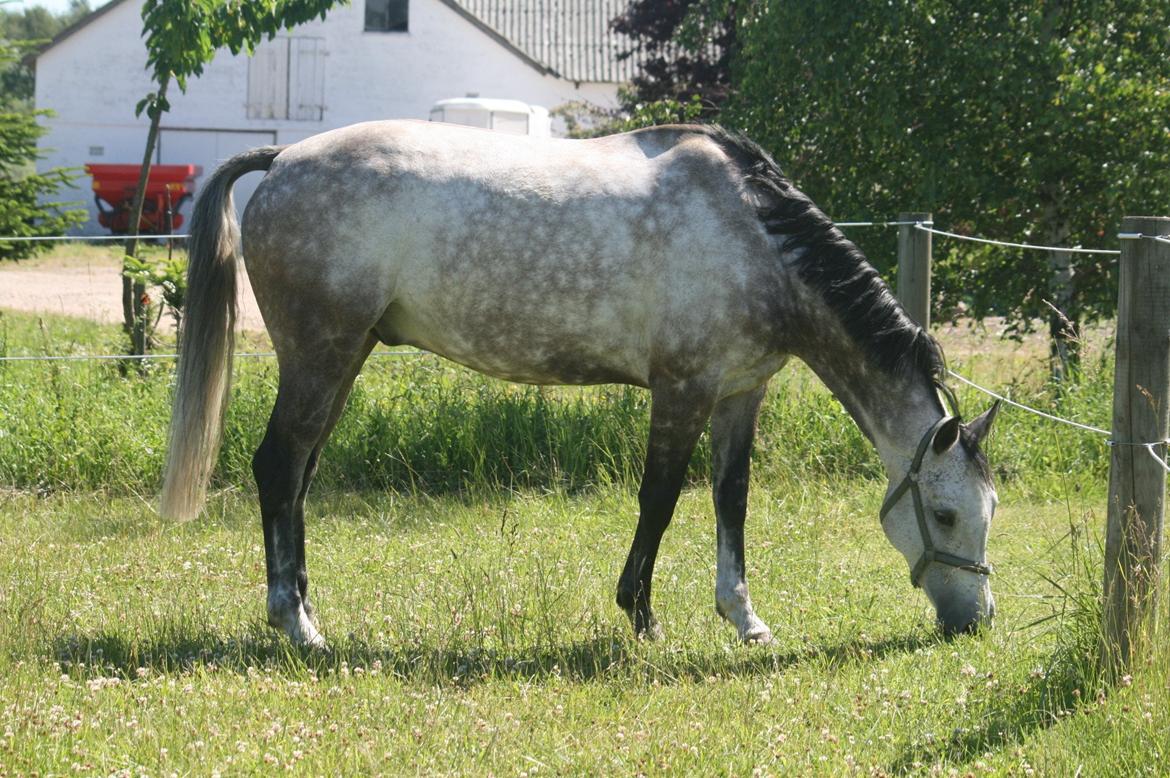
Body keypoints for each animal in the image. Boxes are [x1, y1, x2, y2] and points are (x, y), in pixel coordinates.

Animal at [160, 121, 1001, 650]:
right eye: (947, 514)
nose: (977, 620)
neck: (752, 236)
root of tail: (283, 159)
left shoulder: (739, 394)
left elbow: (731, 503)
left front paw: (745, 620)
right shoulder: (683, 389)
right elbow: (660, 500)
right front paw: (643, 618)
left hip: (346, 355)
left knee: (297, 476)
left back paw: (302, 609)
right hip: (321, 354)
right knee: (278, 468)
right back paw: (298, 626)